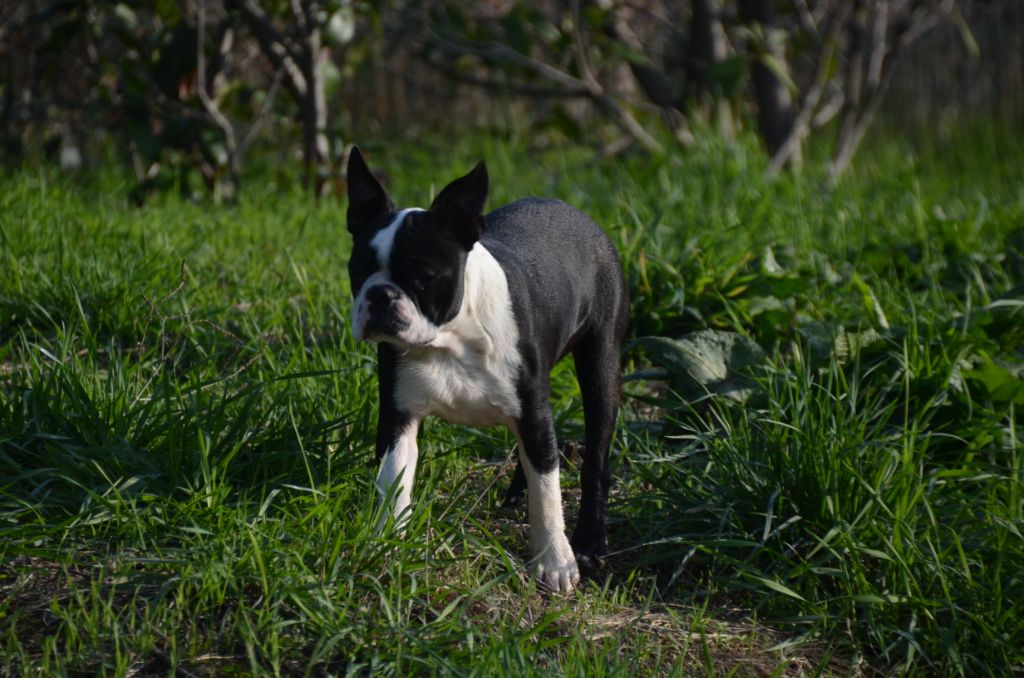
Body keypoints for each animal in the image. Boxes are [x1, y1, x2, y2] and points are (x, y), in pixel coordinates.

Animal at [348, 147, 626, 589]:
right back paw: (515, 495)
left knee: (594, 457)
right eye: (357, 271)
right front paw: (386, 546)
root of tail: (576, 213)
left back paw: (588, 542)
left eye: (424, 277)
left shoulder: (532, 411)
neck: (450, 340)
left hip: (601, 362)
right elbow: (393, 483)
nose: (380, 295)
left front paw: (555, 560)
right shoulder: (398, 418)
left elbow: (548, 490)